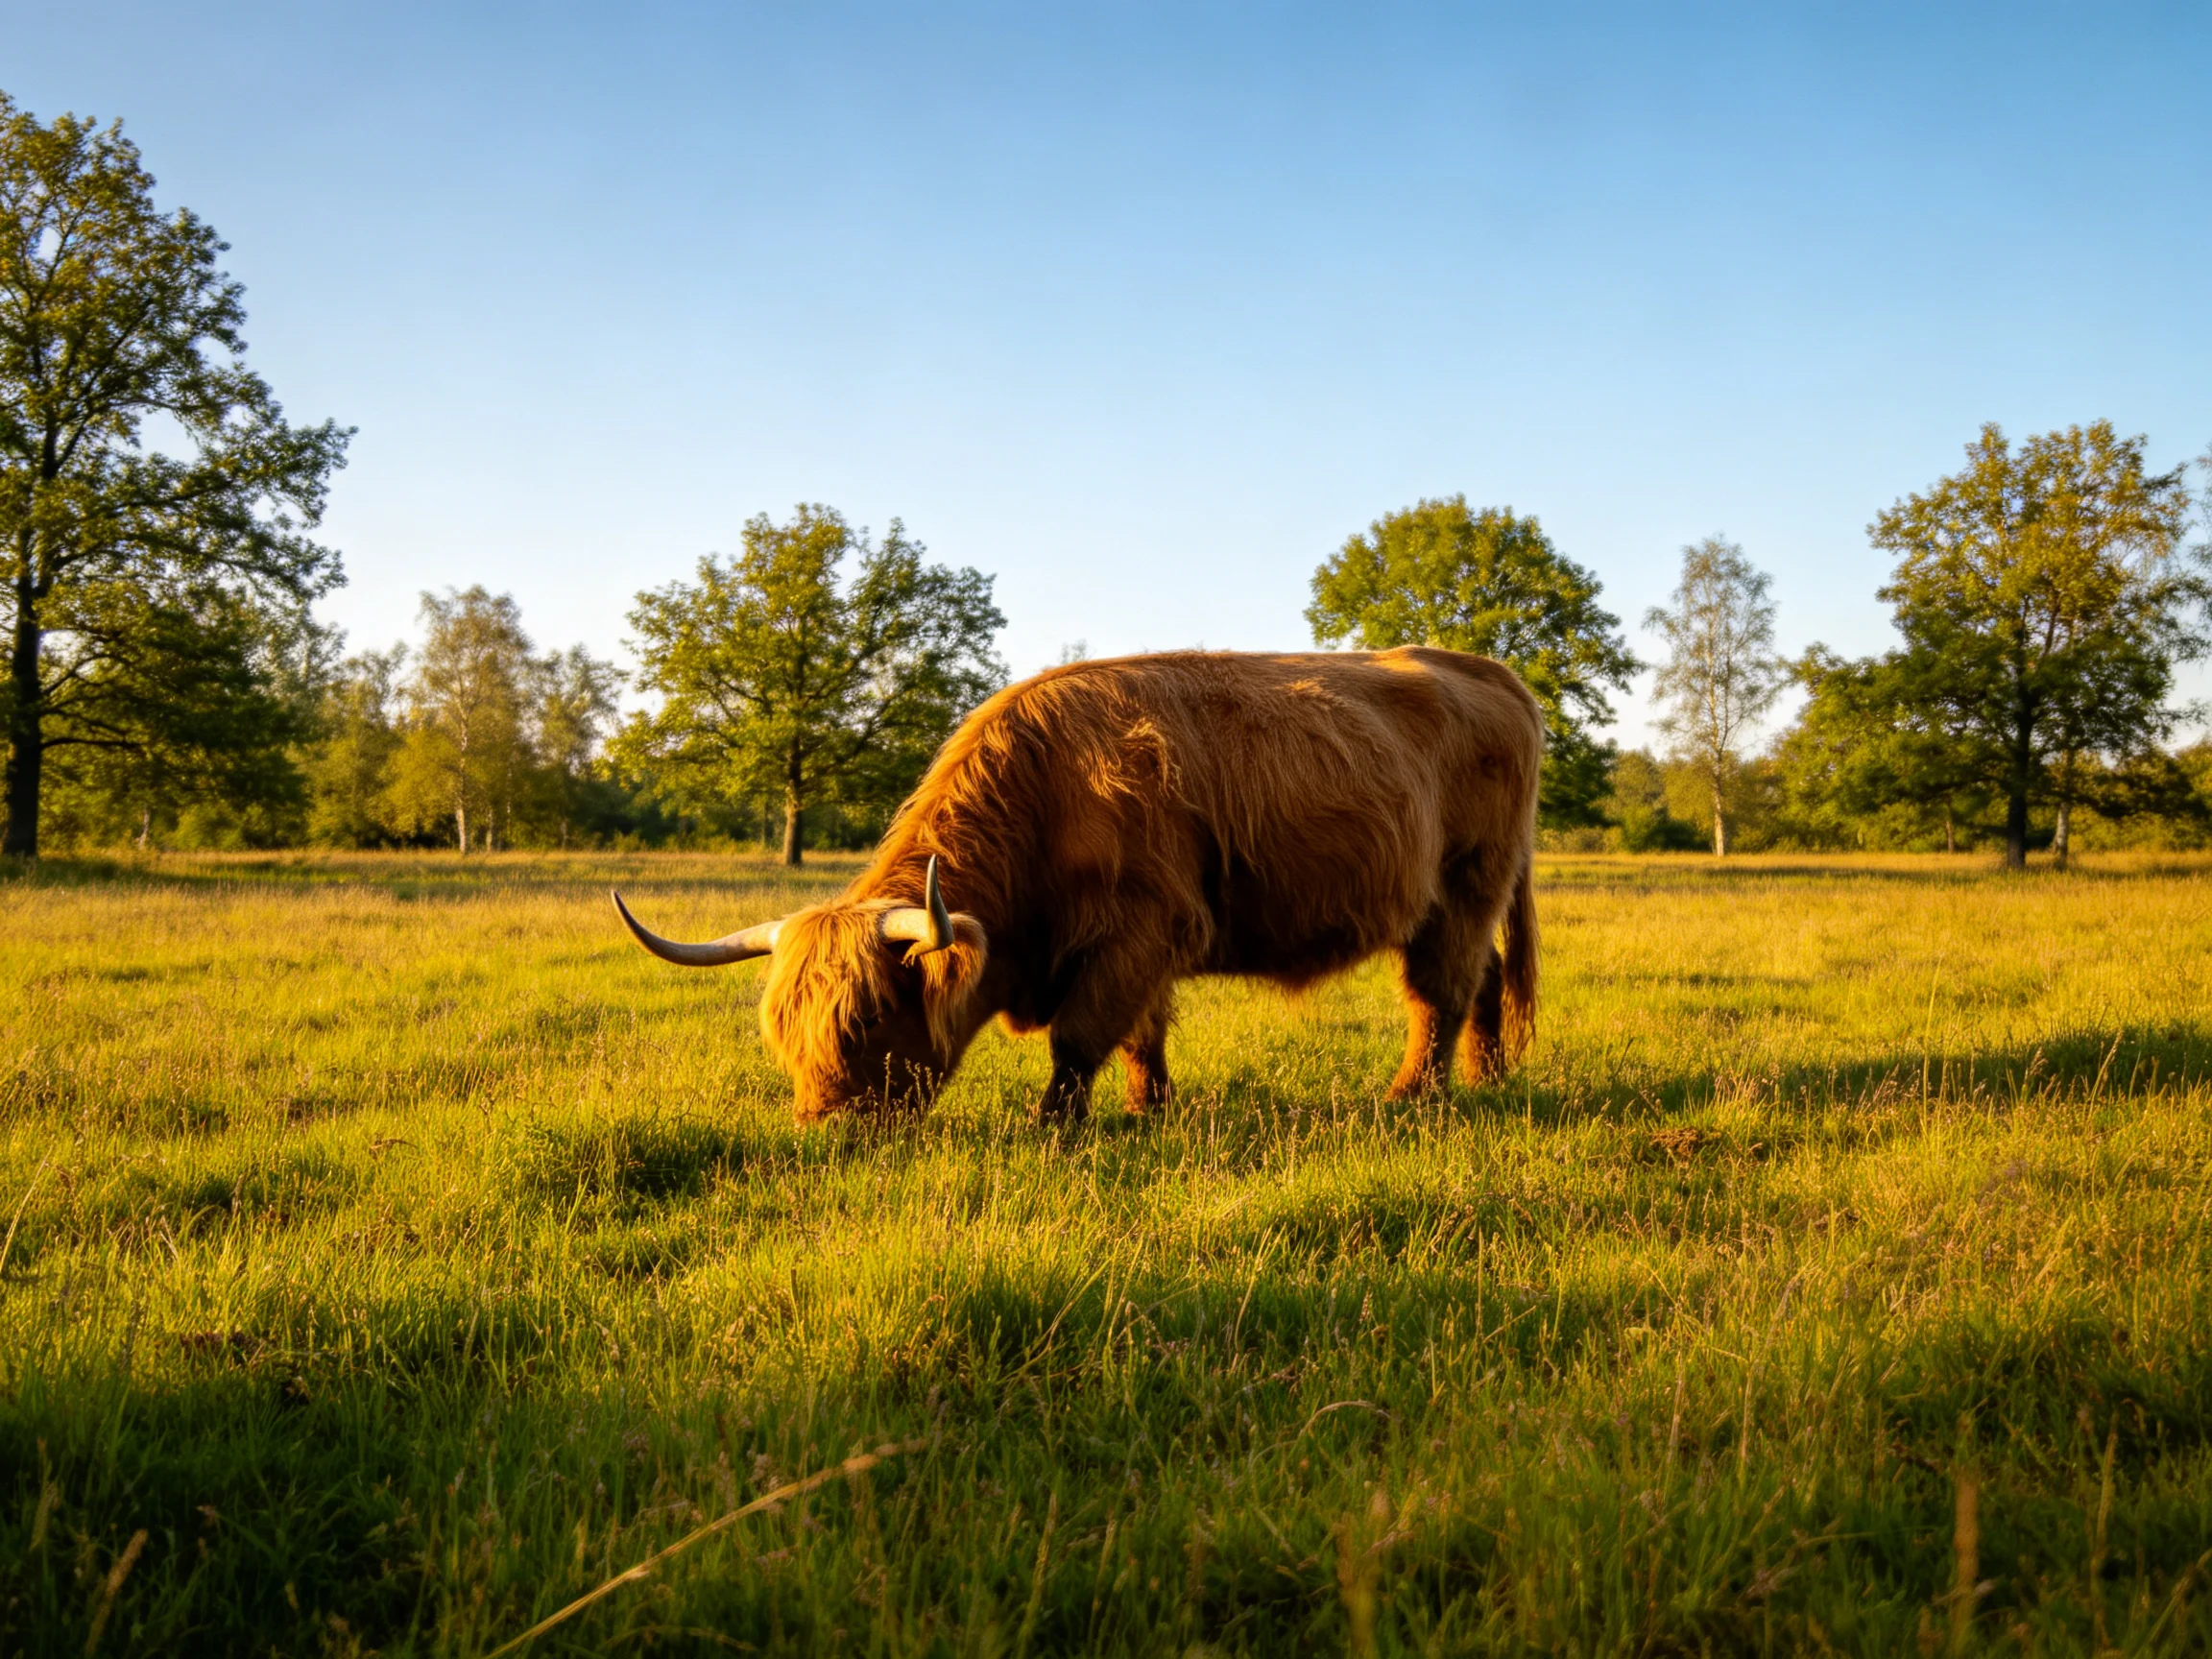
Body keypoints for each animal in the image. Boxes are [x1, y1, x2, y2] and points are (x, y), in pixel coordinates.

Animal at [613, 647, 1542, 1122]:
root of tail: (1483, 668)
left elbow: (1082, 1037)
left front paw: (1057, 1127)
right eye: (783, 1027)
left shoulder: (1139, 930)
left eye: (868, 1016)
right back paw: (1489, 1079)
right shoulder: (1145, 944)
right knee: (1483, 978)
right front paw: (1148, 1109)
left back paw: (1414, 1096)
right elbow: (1141, 1037)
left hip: (1466, 881)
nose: (824, 1128)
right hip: (1456, 901)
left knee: (1440, 990)